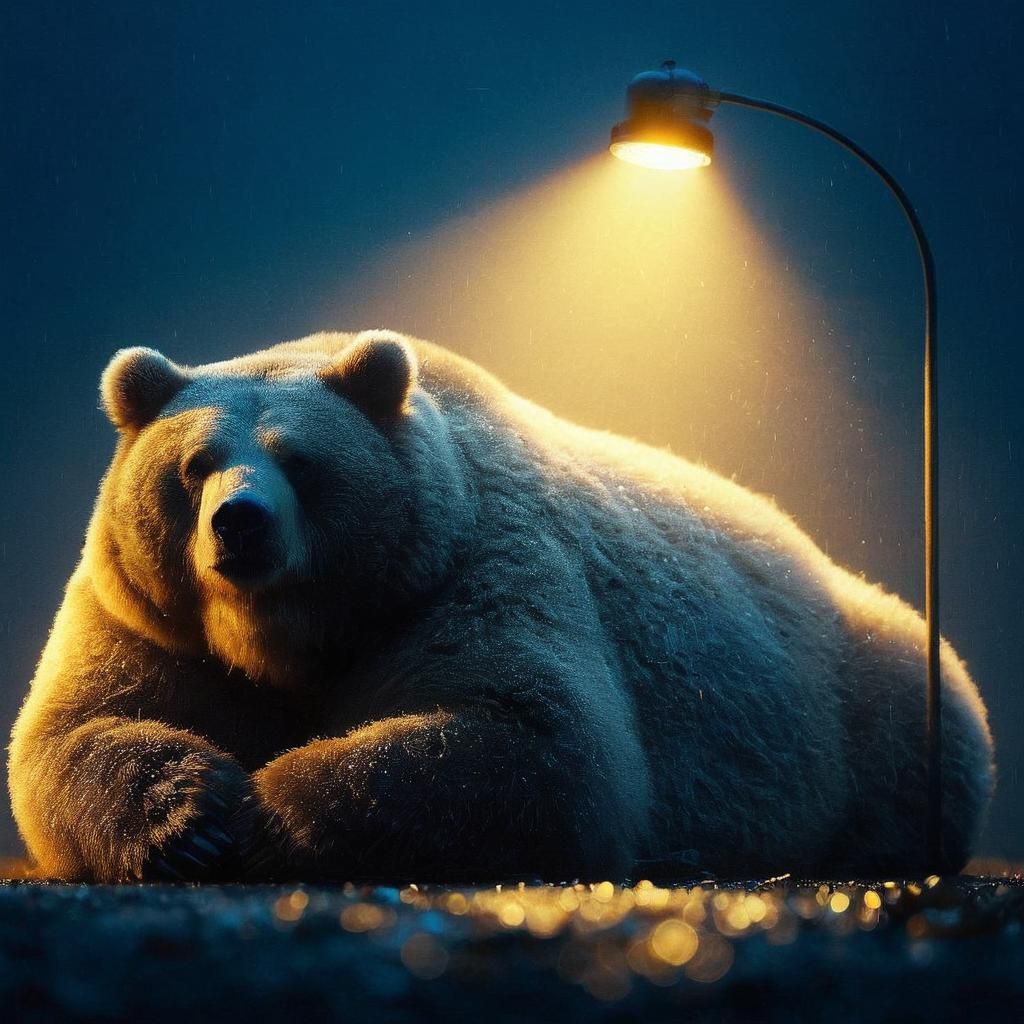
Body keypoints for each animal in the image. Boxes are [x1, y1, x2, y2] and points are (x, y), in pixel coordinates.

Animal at [7, 329, 994, 883]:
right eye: (195, 465)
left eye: (298, 460)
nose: (239, 524)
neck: (290, 634)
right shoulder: (149, 615)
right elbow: (79, 730)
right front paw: (192, 815)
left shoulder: (468, 570)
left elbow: (530, 737)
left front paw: (266, 809)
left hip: (861, 690)